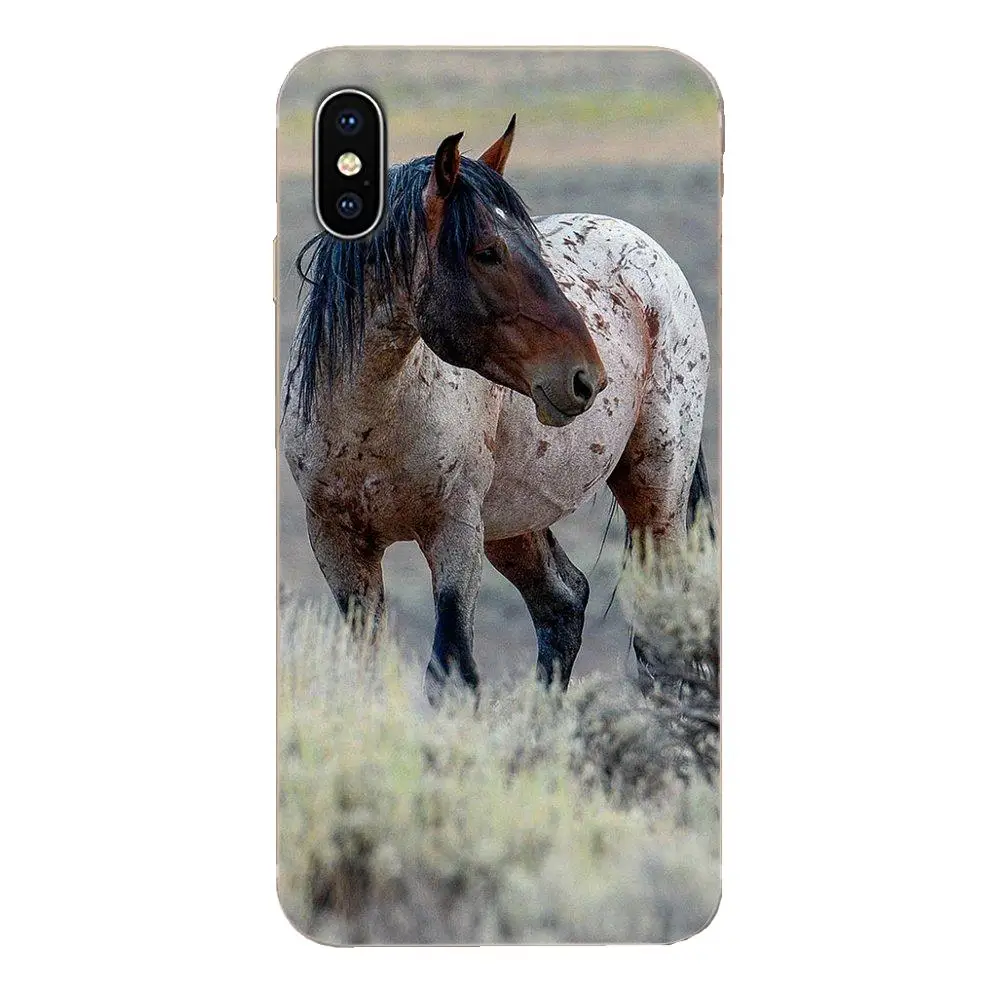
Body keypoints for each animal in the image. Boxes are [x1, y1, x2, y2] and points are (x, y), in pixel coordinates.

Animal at [281, 115, 713, 702]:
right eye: (487, 251)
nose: (588, 378)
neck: (367, 427)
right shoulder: (338, 545)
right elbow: (366, 675)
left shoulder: (454, 532)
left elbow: (453, 673)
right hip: (513, 524)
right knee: (563, 602)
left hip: (656, 498)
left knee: (657, 644)